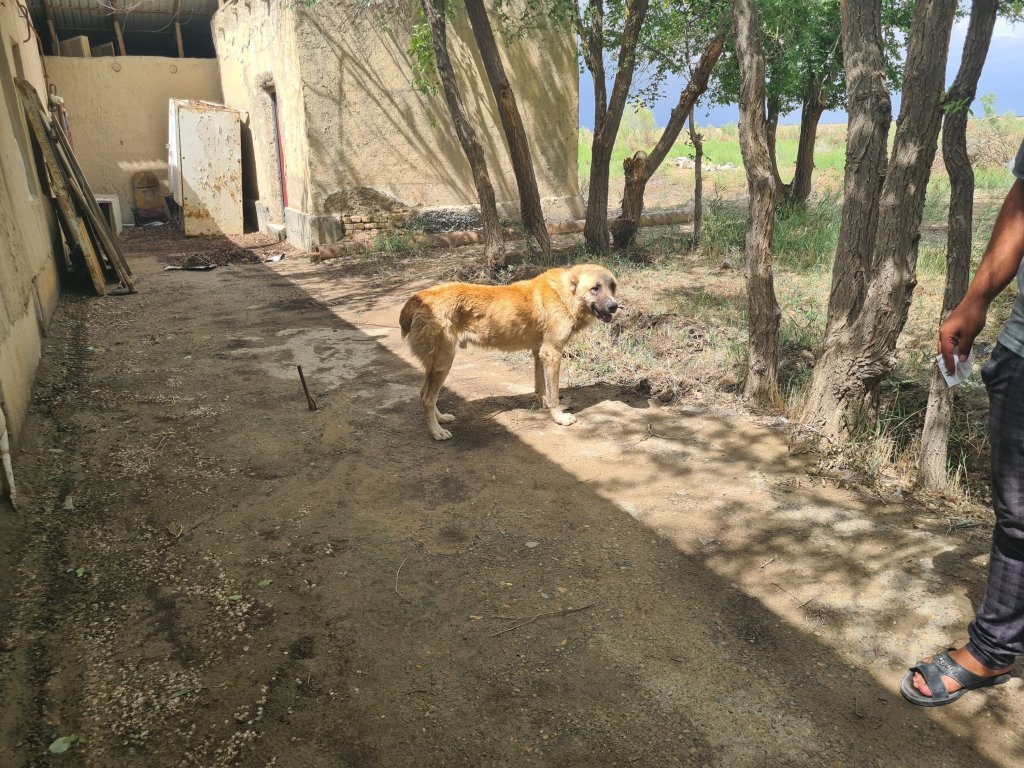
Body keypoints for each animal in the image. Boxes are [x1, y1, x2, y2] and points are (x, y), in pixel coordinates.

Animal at [399, 264, 619, 440]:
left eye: (613, 287)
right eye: (595, 288)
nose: (614, 307)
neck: (566, 295)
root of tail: (417, 298)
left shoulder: (539, 352)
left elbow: (541, 386)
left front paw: (544, 405)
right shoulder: (552, 353)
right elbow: (555, 393)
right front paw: (559, 417)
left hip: (436, 364)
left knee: (424, 394)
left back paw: (441, 419)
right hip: (444, 362)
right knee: (427, 398)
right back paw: (436, 432)